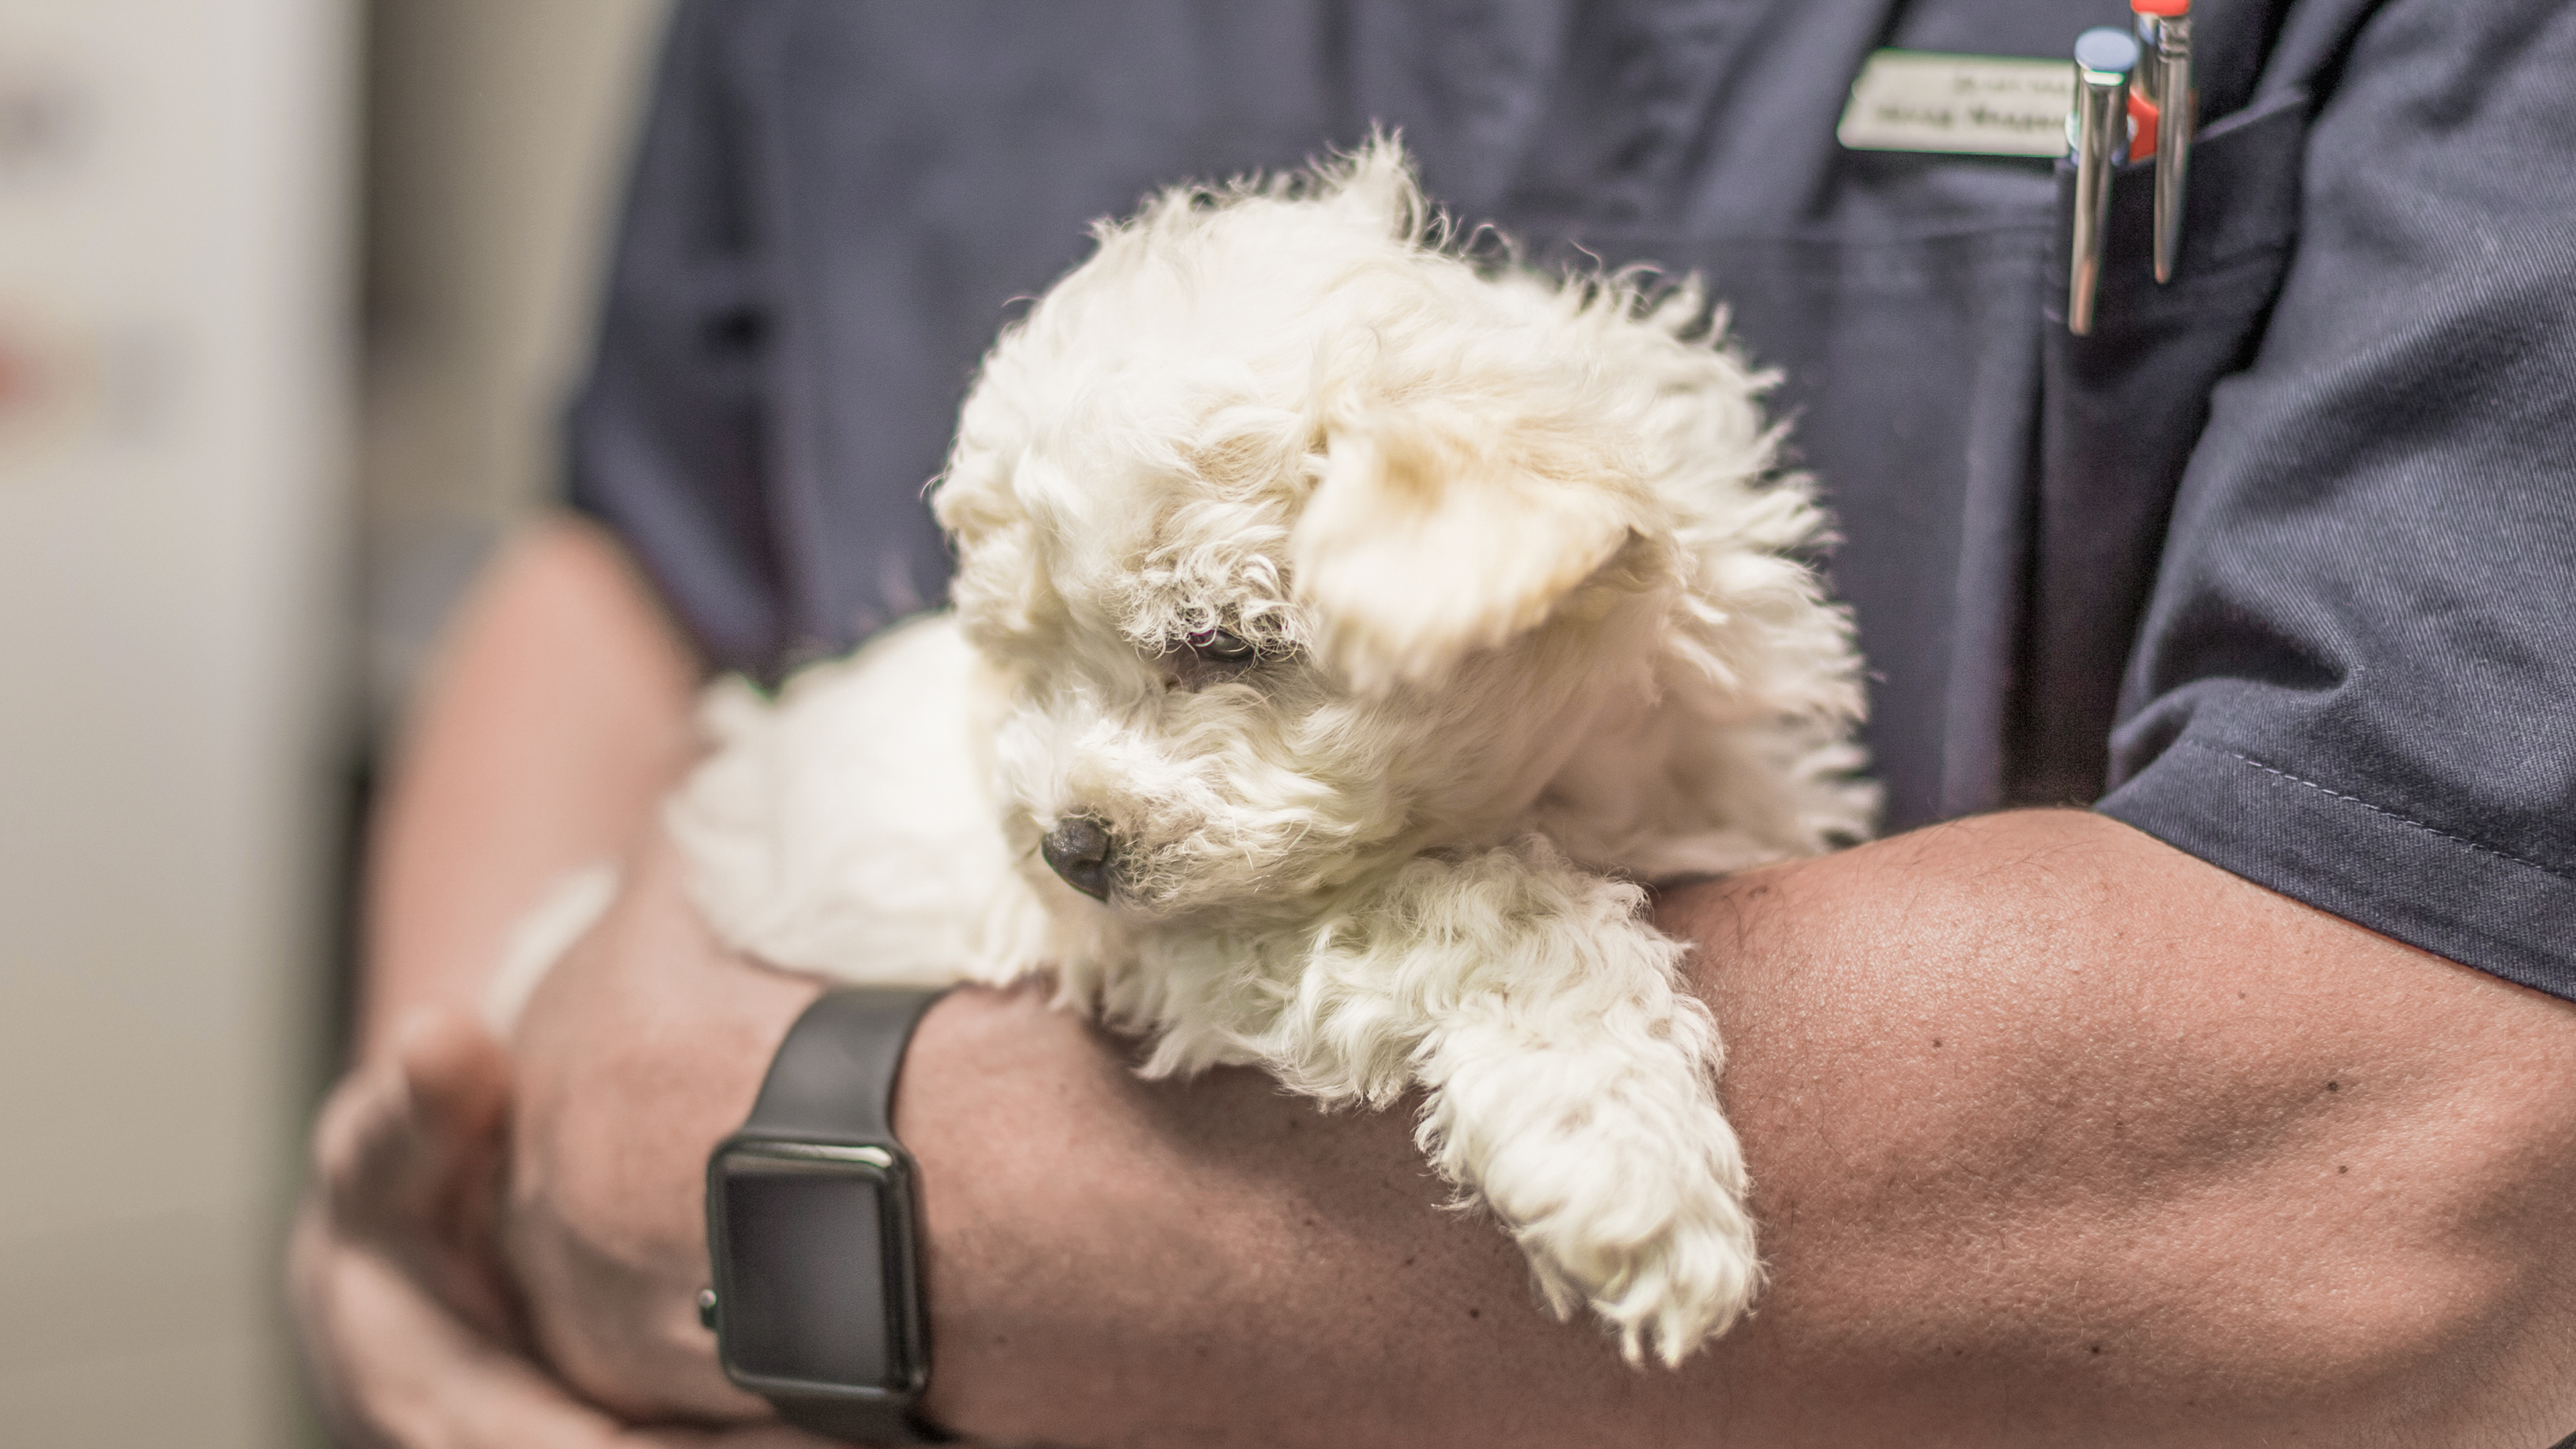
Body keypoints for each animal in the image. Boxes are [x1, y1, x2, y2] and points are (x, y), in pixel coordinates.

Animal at [664, 141, 1875, 1361]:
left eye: (1217, 642)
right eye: (1032, 665)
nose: (1068, 849)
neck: (1583, 778)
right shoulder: (1189, 938)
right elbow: (1484, 909)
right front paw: (1622, 1157)